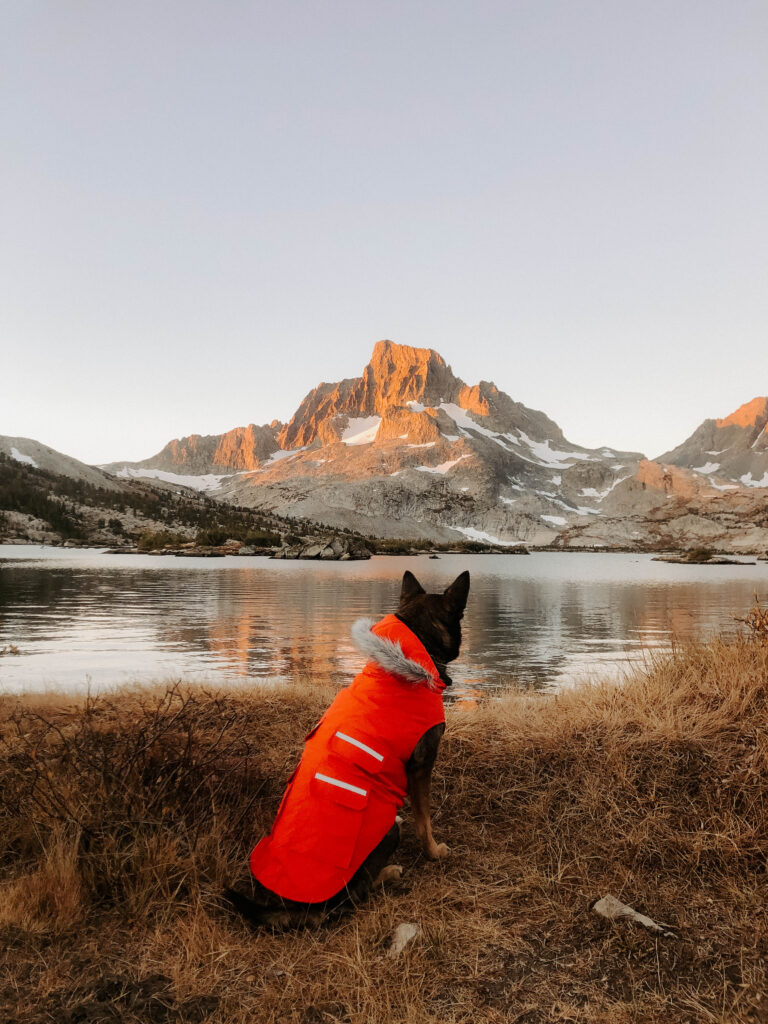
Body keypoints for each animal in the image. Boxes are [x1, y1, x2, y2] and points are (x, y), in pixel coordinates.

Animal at [224, 569, 468, 929]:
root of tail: (300, 906)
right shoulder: (422, 764)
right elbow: (424, 819)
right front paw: (434, 852)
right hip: (387, 828)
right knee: (355, 894)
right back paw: (390, 871)